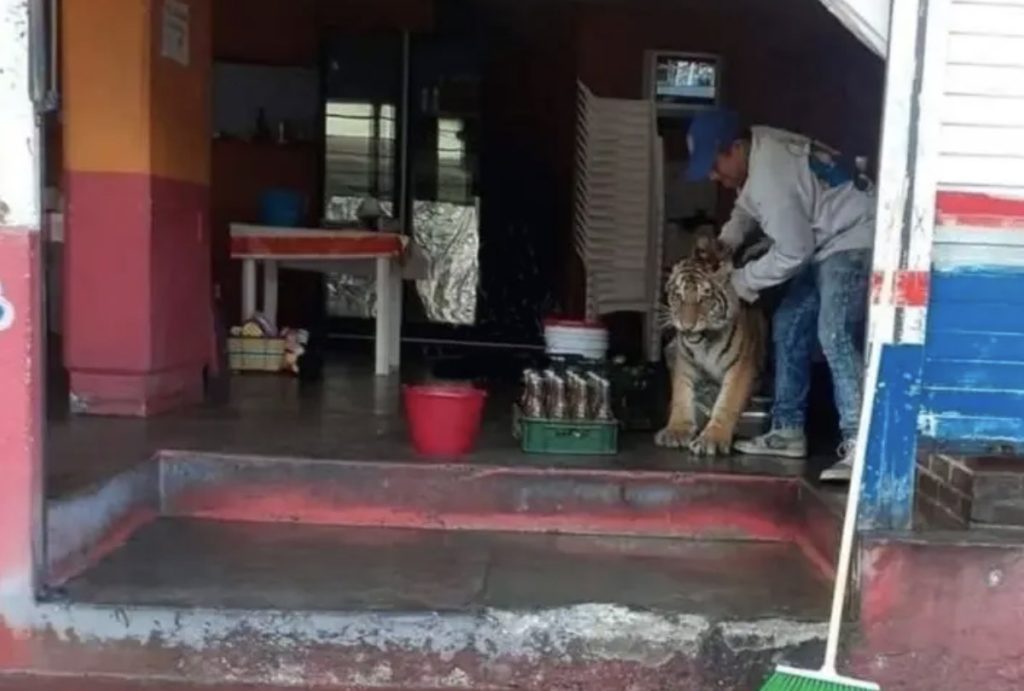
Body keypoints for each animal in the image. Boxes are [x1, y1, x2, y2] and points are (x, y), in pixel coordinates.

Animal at [655, 232, 770, 456]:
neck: (704, 344)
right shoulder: (684, 362)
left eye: (705, 296)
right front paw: (677, 430)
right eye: (678, 295)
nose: (687, 325)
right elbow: (682, 396)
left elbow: (727, 403)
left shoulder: (741, 367)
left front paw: (712, 439)